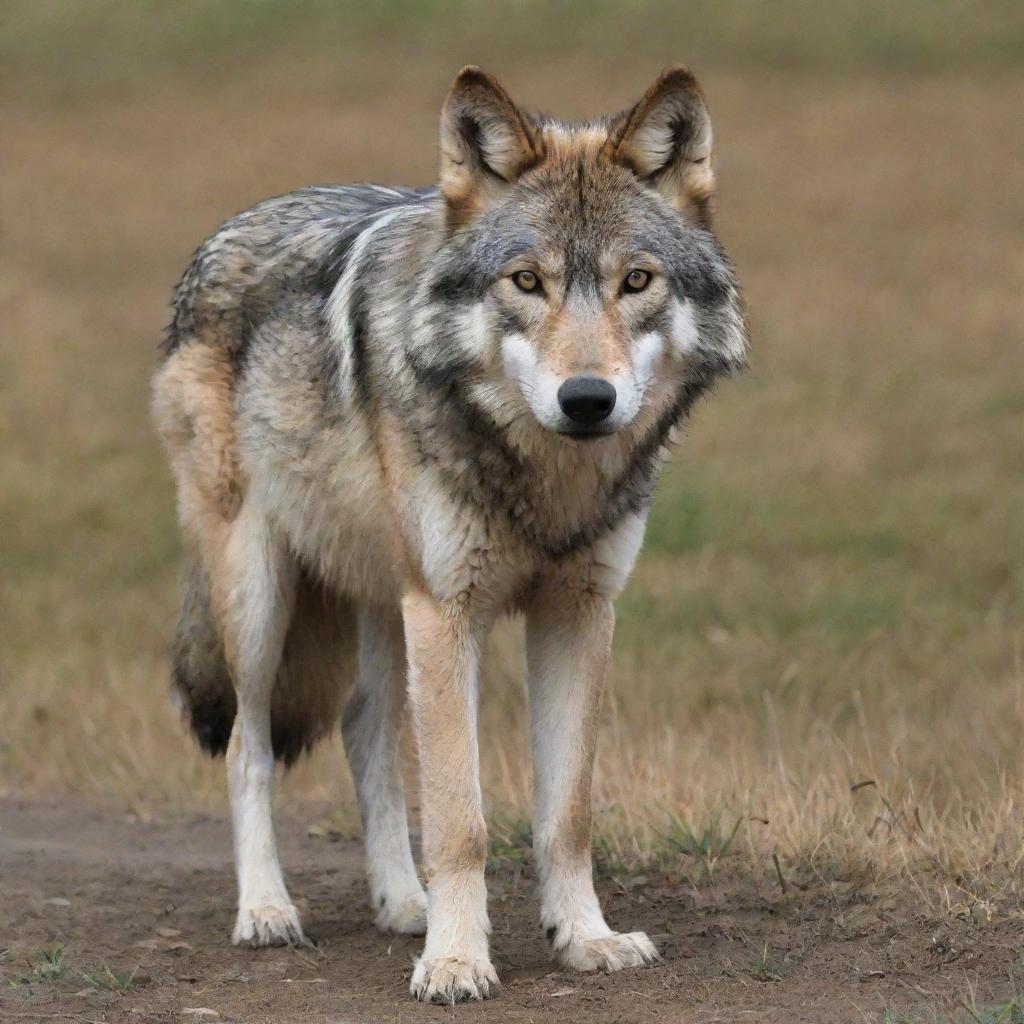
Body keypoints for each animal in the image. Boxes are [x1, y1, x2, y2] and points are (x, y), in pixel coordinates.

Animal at [149, 66, 745, 1007]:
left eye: (637, 281)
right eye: (526, 281)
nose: (587, 399)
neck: (545, 482)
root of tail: (231, 225)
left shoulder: (577, 613)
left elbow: (567, 812)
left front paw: (584, 939)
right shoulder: (448, 612)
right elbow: (462, 819)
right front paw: (458, 962)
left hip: (383, 605)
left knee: (365, 731)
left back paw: (403, 902)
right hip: (260, 596)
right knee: (250, 745)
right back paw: (268, 912)